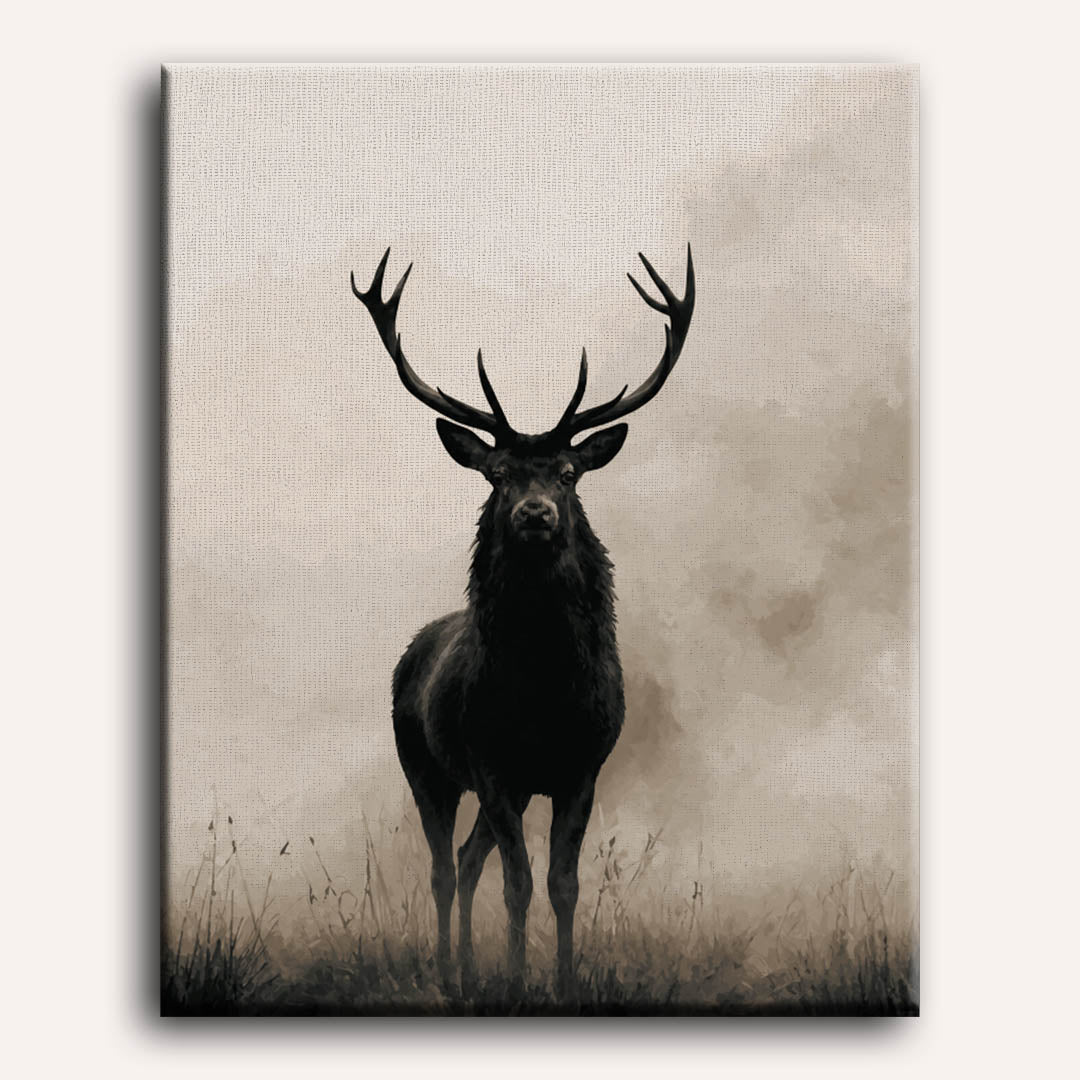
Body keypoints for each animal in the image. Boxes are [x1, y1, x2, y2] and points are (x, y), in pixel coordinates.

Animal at [350, 245, 694, 998]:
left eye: (568, 472)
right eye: (497, 474)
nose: (534, 514)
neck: (543, 690)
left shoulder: (581, 766)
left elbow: (562, 884)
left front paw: (563, 984)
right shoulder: (494, 762)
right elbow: (519, 884)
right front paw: (514, 982)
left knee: (468, 859)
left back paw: (467, 971)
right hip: (425, 765)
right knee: (444, 867)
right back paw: (451, 976)